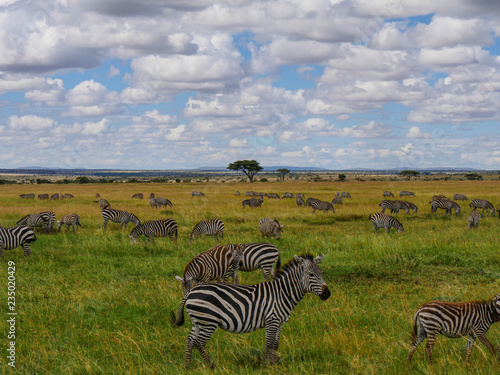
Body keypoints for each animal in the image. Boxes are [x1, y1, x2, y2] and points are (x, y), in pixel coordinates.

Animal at [172, 254, 332, 368]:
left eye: (321, 273)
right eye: (311, 275)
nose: (327, 294)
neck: (283, 293)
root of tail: (191, 291)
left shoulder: (280, 322)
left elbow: (275, 345)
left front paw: (274, 365)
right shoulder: (272, 319)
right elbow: (269, 344)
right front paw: (268, 366)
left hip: (198, 321)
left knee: (190, 341)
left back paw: (187, 366)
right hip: (208, 321)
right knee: (199, 342)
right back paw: (212, 366)